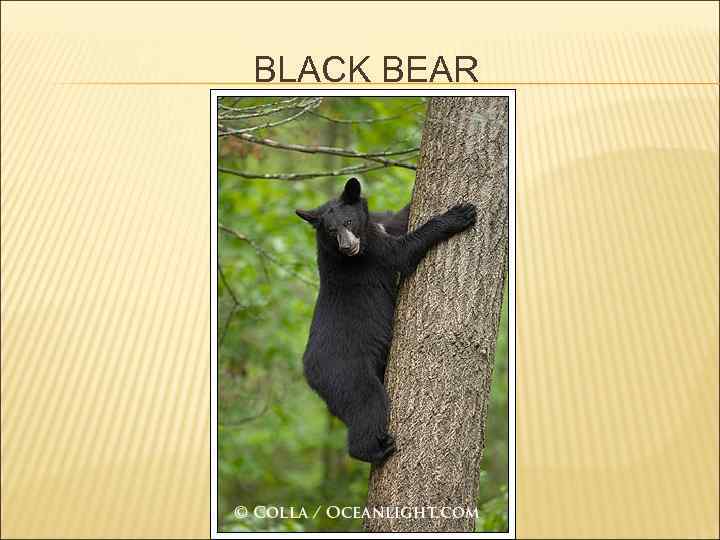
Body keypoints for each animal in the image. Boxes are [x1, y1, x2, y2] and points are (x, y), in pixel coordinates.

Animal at [296, 177, 476, 464]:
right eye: (331, 231)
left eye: (348, 222)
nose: (348, 247)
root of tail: (309, 373)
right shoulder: (373, 255)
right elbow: (403, 251)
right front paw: (458, 215)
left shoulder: (379, 226)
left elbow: (398, 220)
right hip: (345, 372)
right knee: (367, 403)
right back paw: (376, 449)